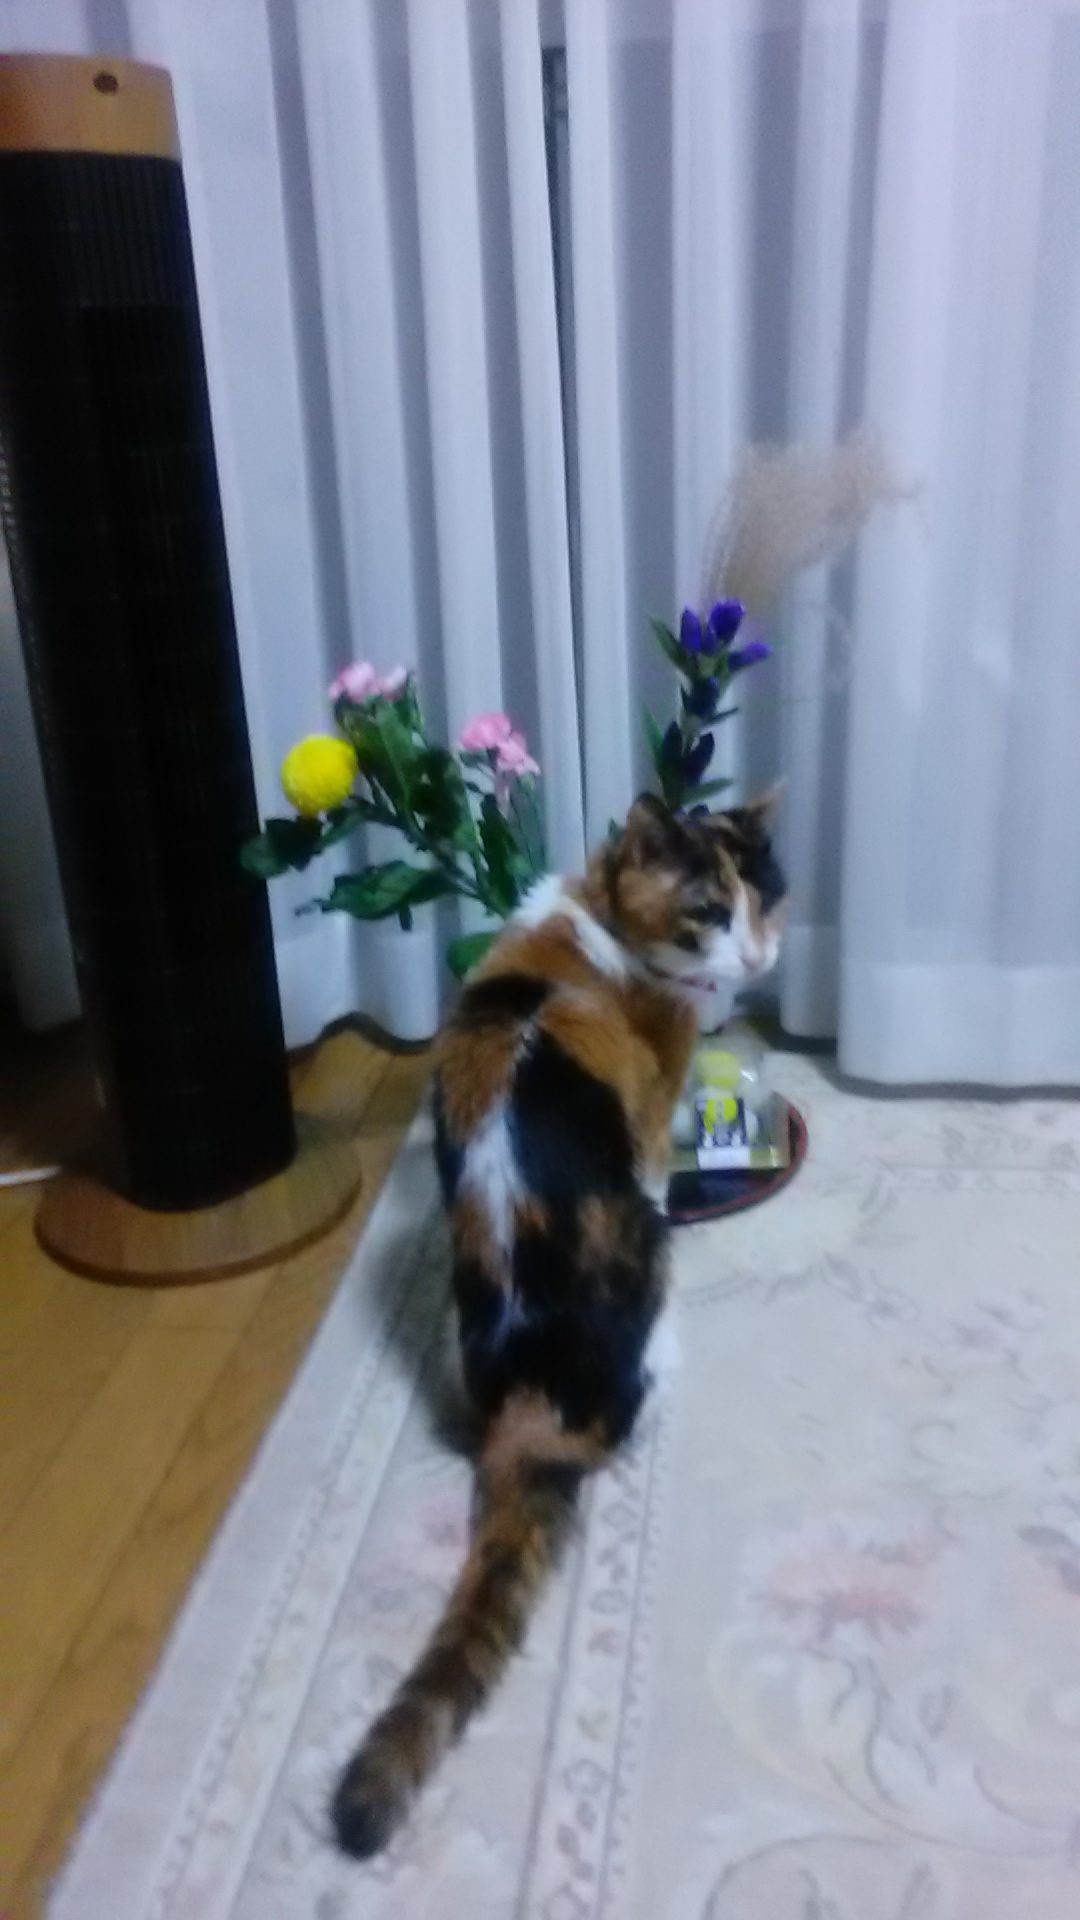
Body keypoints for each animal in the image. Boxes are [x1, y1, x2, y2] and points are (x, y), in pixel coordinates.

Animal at [332, 790, 786, 1858]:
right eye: (711, 910)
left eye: (767, 898)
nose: (756, 959)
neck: (591, 925)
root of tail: (533, 1410)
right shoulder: (656, 1124)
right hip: (651, 1274)